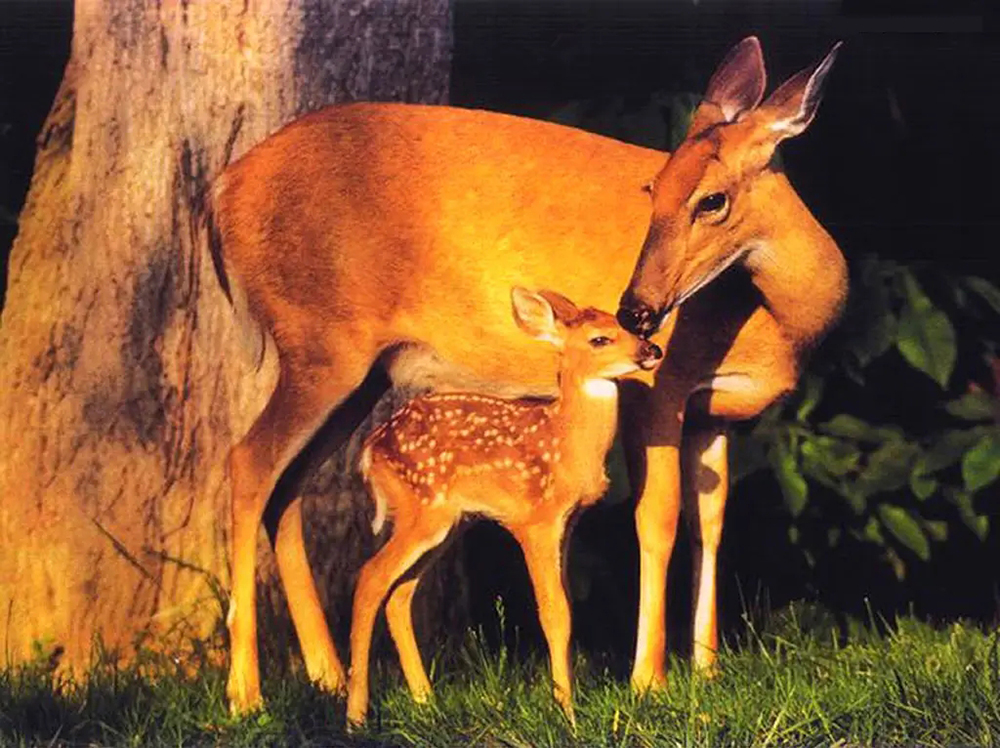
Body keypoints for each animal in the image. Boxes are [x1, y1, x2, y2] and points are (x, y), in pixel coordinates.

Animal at [209, 36, 844, 712]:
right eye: (653, 190)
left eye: (712, 198)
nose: (637, 310)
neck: (778, 324)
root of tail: (221, 190)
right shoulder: (659, 391)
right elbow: (658, 517)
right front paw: (649, 678)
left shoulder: (714, 413)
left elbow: (713, 521)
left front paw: (707, 669)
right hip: (320, 343)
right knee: (248, 462)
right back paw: (246, 693)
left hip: (361, 371)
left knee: (287, 486)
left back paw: (326, 676)